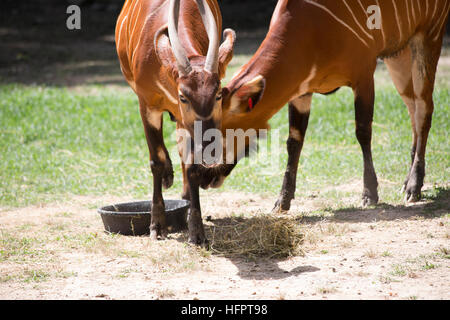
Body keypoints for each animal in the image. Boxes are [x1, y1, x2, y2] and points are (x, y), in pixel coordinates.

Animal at [116, 0, 236, 245]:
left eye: (219, 93)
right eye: (183, 96)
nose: (211, 149)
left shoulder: (185, 122)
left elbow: (192, 166)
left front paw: (197, 233)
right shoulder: (147, 106)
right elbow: (156, 161)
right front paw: (157, 226)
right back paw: (168, 178)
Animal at [217, 0, 446, 212]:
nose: (208, 178)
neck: (310, 29)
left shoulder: (364, 76)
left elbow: (363, 132)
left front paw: (369, 195)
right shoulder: (302, 92)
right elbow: (294, 141)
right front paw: (282, 201)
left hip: (428, 36)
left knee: (424, 108)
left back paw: (414, 187)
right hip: (398, 54)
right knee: (413, 107)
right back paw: (407, 182)